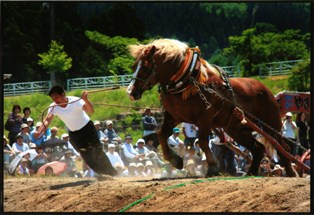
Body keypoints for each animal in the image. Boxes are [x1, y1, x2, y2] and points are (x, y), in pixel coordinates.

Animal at [127, 38, 296, 176]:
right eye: (135, 66)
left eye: (145, 67)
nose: (131, 92)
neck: (187, 80)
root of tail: (265, 89)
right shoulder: (174, 116)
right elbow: (161, 134)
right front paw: (176, 160)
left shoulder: (205, 117)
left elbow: (202, 141)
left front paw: (213, 167)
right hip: (236, 129)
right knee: (259, 148)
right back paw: (252, 172)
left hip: (270, 123)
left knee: (283, 148)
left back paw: (291, 172)